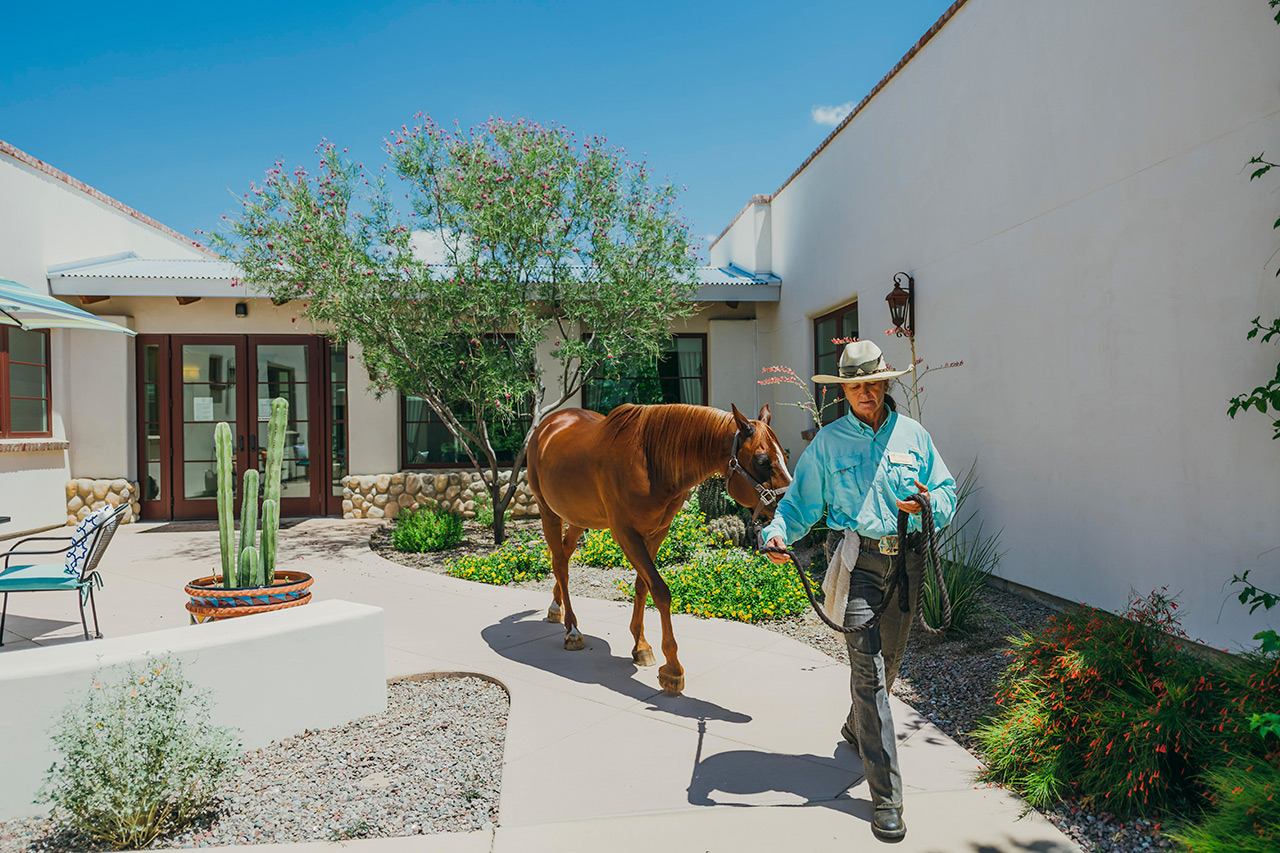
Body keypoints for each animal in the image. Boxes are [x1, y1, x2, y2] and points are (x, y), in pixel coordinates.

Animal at [527, 399, 788, 691]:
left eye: (783, 457)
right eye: (762, 461)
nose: (789, 501)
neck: (649, 462)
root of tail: (549, 424)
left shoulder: (657, 532)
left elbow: (643, 586)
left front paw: (640, 646)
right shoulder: (625, 533)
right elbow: (661, 591)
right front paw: (672, 669)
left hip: (579, 518)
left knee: (563, 554)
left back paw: (556, 608)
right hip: (547, 510)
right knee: (560, 564)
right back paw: (572, 630)